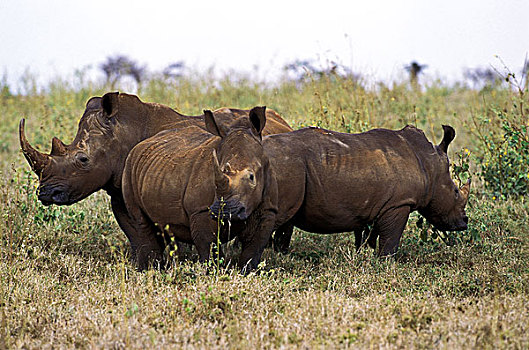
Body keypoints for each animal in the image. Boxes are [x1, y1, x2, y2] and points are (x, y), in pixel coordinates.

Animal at [18, 93, 290, 266]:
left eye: (83, 160)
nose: (46, 193)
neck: (123, 132)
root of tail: (282, 121)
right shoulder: (120, 190)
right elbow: (134, 231)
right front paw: (142, 262)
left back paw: (280, 252)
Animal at [208, 106, 468, 262]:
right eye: (456, 192)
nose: (464, 222)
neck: (428, 164)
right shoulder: (399, 204)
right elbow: (390, 239)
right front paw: (386, 262)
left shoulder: (376, 204)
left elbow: (368, 236)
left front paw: (365, 255)